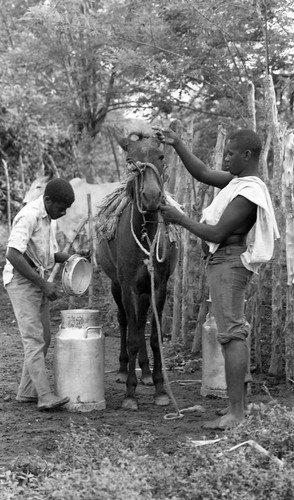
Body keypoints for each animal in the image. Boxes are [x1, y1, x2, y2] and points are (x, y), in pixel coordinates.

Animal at [97, 133, 178, 410]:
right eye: (131, 160)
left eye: (161, 156)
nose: (151, 196)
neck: (146, 232)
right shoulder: (128, 286)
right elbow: (132, 336)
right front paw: (130, 394)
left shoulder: (159, 285)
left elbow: (153, 337)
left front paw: (160, 389)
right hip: (116, 285)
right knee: (125, 322)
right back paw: (125, 371)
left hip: (144, 290)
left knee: (140, 322)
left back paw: (145, 372)